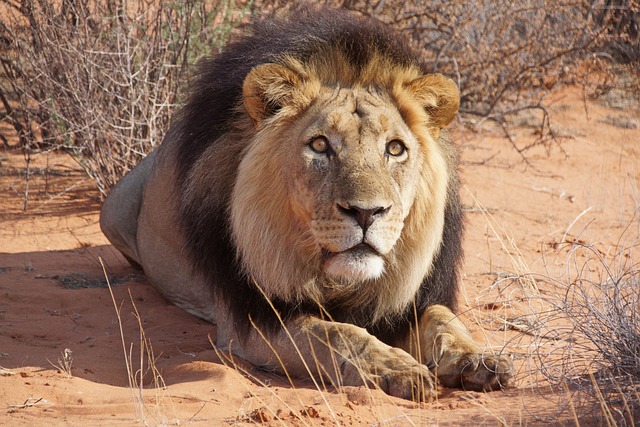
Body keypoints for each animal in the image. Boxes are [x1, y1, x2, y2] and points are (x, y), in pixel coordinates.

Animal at [100, 7, 512, 402]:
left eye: (395, 149)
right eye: (319, 145)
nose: (367, 213)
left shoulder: (413, 300)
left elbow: (443, 319)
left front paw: (478, 359)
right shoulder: (253, 320)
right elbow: (336, 335)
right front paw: (397, 369)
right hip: (112, 210)